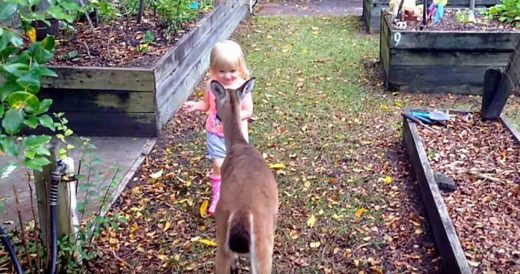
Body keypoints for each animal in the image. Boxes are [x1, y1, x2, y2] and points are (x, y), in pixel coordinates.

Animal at [209, 78, 278, 272]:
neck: (238, 144)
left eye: (215, 100)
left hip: (223, 238)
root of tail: (242, 212)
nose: (217, 116)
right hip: (263, 246)